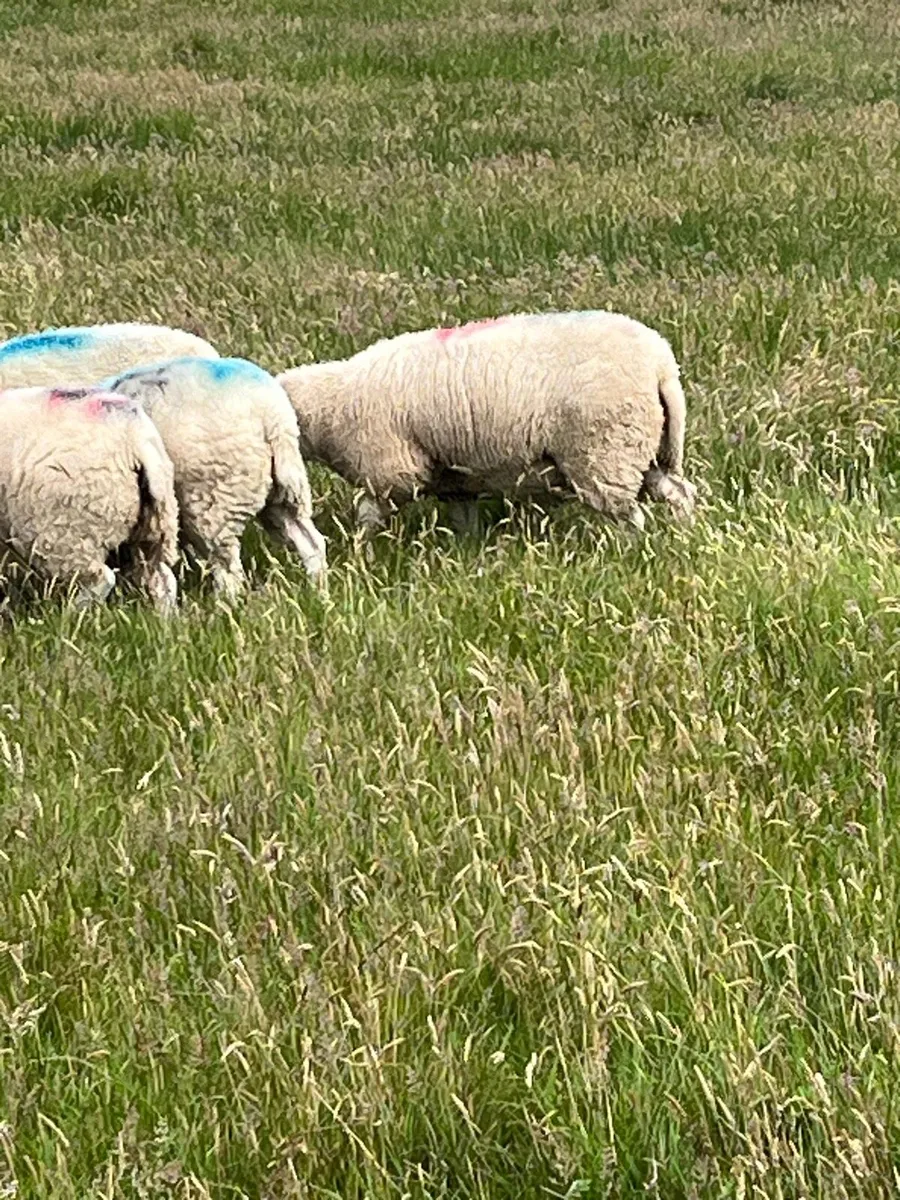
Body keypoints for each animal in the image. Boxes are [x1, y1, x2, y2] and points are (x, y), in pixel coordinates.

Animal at [0, 385, 179, 611]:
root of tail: (135, 436)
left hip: (66, 530)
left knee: (102, 579)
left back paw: (71, 612)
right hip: (156, 523)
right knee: (162, 578)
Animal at [102, 356, 327, 598]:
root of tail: (272, 416)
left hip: (213, 498)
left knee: (228, 571)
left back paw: (223, 603)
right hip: (280, 492)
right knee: (310, 542)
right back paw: (318, 590)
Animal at [277, 310, 697, 535]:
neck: (334, 403)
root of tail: (661, 364)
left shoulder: (391, 472)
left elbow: (367, 513)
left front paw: (359, 554)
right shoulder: (453, 479)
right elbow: (464, 521)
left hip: (605, 451)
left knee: (631, 514)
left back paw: (630, 551)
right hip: (644, 446)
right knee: (678, 493)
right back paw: (683, 533)